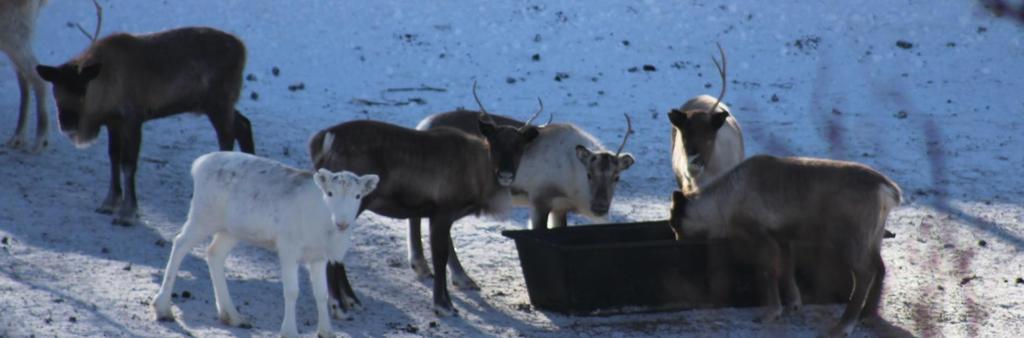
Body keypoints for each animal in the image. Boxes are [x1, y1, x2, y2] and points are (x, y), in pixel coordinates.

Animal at [149, 152, 378, 338]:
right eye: (330, 193)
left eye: (358, 195)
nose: (342, 222)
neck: (323, 223)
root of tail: (198, 164)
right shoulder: (288, 247)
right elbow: (292, 291)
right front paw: (289, 331)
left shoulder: (318, 256)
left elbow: (322, 294)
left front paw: (326, 332)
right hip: (203, 215)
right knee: (180, 243)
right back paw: (163, 308)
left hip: (230, 230)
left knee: (214, 253)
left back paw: (232, 316)